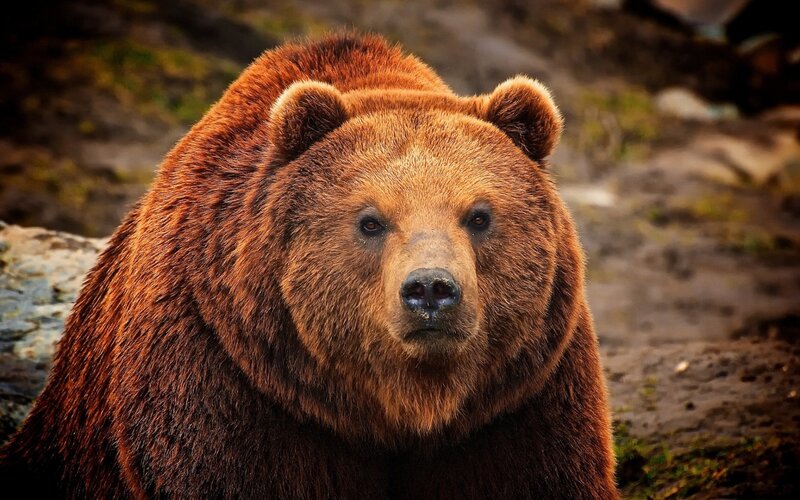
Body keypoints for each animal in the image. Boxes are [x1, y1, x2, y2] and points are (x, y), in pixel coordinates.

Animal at [0, 34, 618, 498]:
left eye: (480, 214)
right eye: (370, 220)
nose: (431, 290)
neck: (399, 406)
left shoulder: (518, 398)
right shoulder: (230, 380)